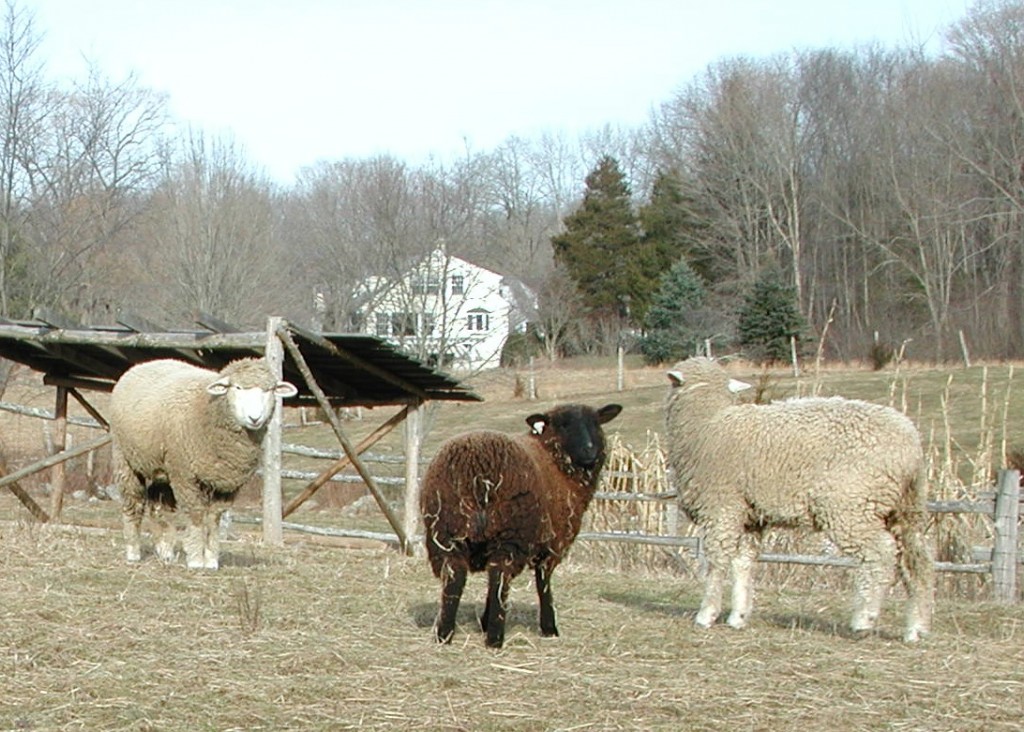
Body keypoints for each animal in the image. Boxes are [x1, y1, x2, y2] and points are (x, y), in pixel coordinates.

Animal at [108, 357, 297, 570]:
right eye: (237, 387)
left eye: (269, 390)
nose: (255, 418)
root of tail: (144, 364)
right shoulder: (186, 475)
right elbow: (196, 514)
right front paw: (196, 559)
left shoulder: (225, 482)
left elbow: (214, 518)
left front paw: (211, 559)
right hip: (125, 456)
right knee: (134, 502)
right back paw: (133, 552)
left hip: (163, 468)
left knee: (159, 506)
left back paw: (165, 553)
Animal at [420, 402, 622, 648]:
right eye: (564, 425)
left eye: (595, 423)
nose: (589, 450)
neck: (554, 458)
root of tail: (476, 469)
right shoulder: (554, 541)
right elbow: (543, 583)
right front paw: (549, 627)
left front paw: (483, 622)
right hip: (510, 531)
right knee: (499, 574)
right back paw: (495, 639)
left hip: (447, 531)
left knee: (456, 576)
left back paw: (444, 635)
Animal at [663, 357, 933, 642]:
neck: (707, 422)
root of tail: (910, 448)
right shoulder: (751, 516)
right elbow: (743, 563)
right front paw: (739, 616)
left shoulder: (722, 507)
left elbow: (717, 560)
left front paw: (706, 614)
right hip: (906, 507)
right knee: (918, 559)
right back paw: (917, 628)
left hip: (850, 505)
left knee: (880, 553)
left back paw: (864, 620)